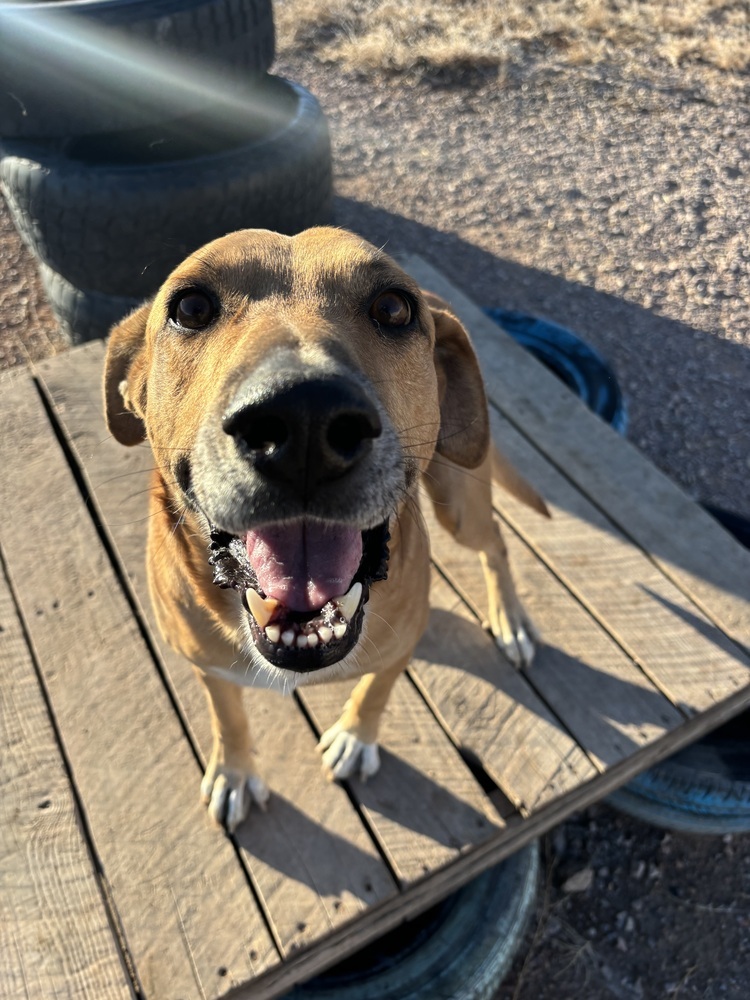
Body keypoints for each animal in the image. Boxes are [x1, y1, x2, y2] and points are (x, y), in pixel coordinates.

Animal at [104, 230, 548, 832]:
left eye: (393, 308)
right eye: (190, 308)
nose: (305, 418)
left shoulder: (398, 650)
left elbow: (375, 690)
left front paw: (356, 737)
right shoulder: (207, 667)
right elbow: (228, 718)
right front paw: (235, 770)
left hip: (461, 501)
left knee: (496, 544)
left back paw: (512, 620)